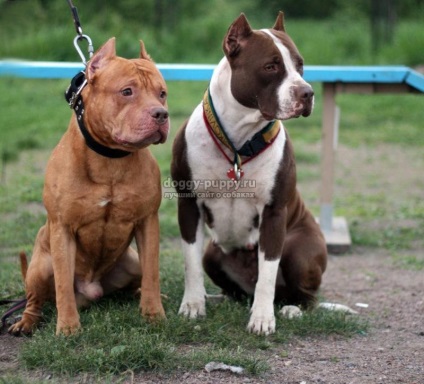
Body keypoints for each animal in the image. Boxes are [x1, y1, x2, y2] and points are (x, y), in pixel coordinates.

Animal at [9, 36, 168, 336]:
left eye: (162, 93)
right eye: (127, 91)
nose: (161, 114)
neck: (110, 159)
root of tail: (93, 291)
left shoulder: (147, 222)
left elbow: (153, 273)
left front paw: (154, 314)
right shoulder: (62, 228)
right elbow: (62, 286)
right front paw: (68, 327)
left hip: (131, 262)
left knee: (139, 280)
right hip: (40, 265)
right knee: (36, 298)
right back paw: (26, 321)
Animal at [172, 13, 328, 334]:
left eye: (300, 65)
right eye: (271, 66)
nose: (307, 92)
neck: (239, 142)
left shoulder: (274, 213)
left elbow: (267, 273)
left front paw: (262, 319)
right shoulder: (188, 204)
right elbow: (190, 262)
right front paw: (193, 305)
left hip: (299, 250)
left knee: (303, 296)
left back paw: (291, 309)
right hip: (213, 254)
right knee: (235, 288)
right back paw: (220, 299)